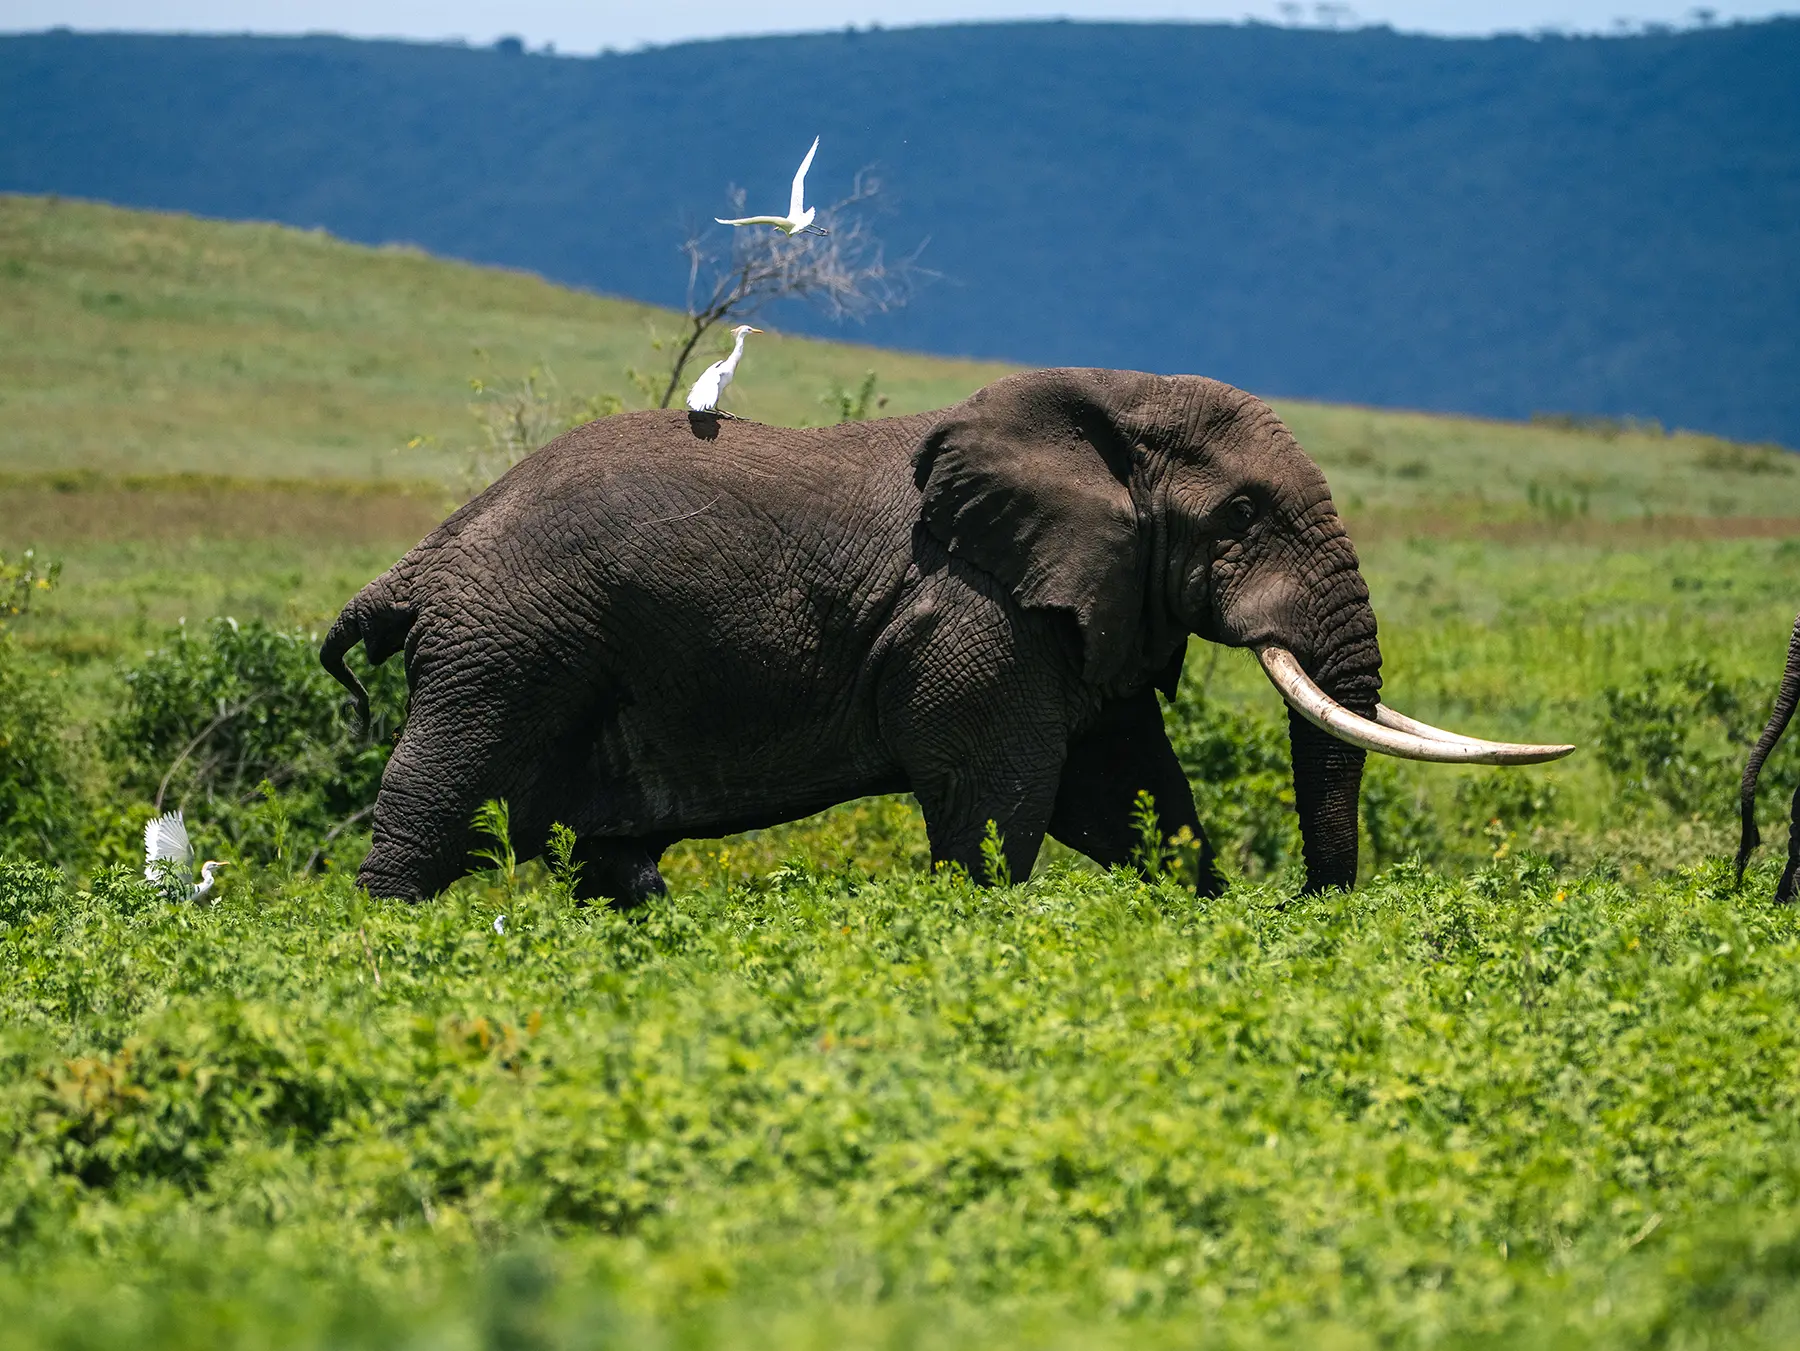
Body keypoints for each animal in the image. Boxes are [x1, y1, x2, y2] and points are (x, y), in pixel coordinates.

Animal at [320, 367, 1572, 904]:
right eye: (1241, 517)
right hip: (504, 649)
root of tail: (421, 560)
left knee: (611, 861)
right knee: (432, 801)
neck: (1105, 406)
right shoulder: (981, 614)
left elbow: (1124, 796)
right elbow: (998, 799)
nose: (1312, 911)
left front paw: (1199, 908)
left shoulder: (1088, 603)